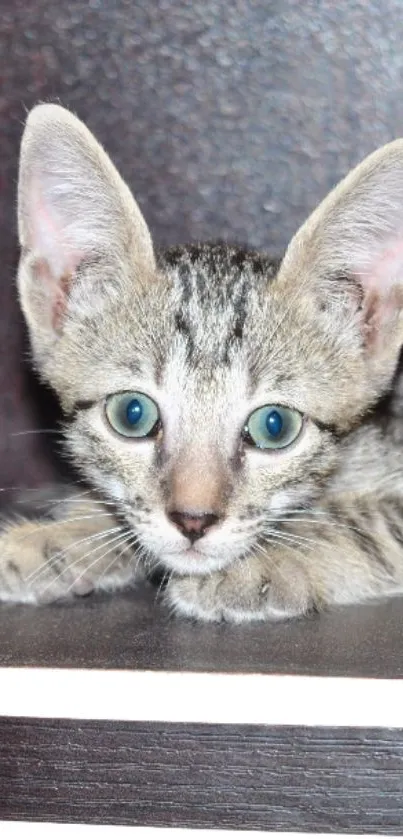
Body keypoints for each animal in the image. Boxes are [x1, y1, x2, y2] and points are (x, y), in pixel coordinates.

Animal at [0, 101, 403, 620]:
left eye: (275, 426)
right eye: (132, 415)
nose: (193, 521)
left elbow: (358, 521)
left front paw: (260, 564)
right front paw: (59, 536)